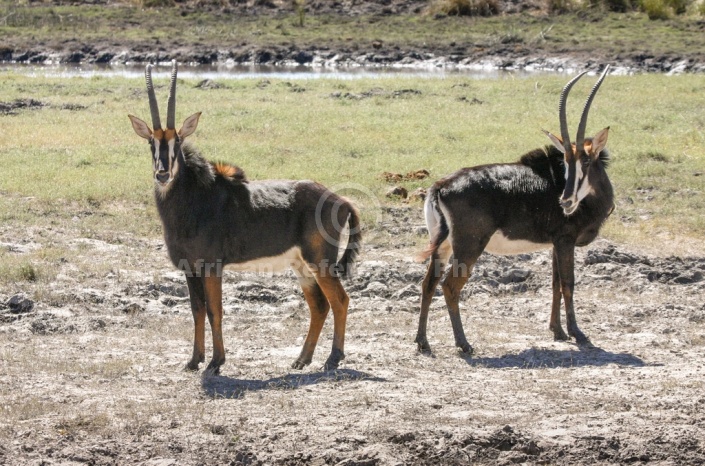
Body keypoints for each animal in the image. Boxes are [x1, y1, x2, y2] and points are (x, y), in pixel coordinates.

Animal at [127, 62, 360, 374]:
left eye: (178, 140)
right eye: (151, 143)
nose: (162, 174)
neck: (194, 199)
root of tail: (341, 200)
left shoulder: (211, 266)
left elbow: (215, 310)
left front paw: (216, 362)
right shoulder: (189, 268)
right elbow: (197, 310)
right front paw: (194, 360)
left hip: (320, 262)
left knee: (340, 300)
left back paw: (333, 358)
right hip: (301, 265)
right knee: (319, 305)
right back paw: (302, 359)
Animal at [418, 65, 612, 354]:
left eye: (585, 161)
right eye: (566, 161)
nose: (565, 201)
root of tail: (440, 186)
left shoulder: (556, 243)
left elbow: (554, 284)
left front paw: (557, 332)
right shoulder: (565, 241)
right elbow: (568, 284)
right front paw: (578, 334)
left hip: (442, 245)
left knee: (428, 284)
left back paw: (422, 342)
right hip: (469, 246)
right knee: (450, 286)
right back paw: (464, 344)